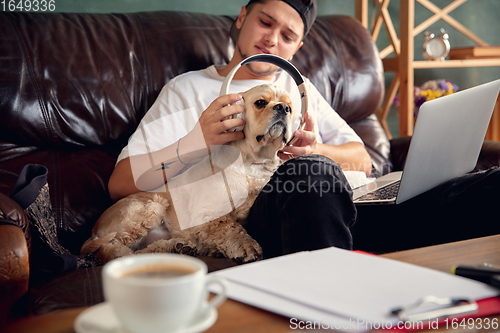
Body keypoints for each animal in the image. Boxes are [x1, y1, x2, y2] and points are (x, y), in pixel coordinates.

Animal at [80, 83, 294, 264]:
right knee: (114, 251)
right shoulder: (207, 214)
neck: (254, 163)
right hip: (148, 208)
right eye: (260, 103)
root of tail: (93, 231)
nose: (283, 108)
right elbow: (228, 227)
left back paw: (177, 247)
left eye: (290, 108)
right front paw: (246, 245)